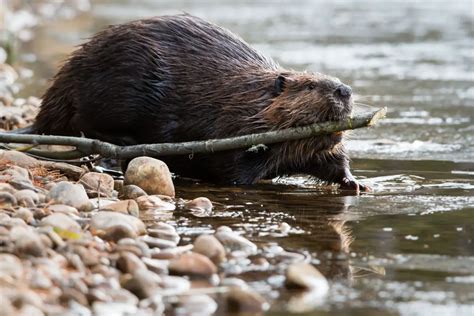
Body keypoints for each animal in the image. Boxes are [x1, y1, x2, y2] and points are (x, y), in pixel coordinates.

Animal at [31, 14, 368, 193]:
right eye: (310, 85)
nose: (345, 90)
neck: (250, 98)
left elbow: (332, 160)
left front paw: (356, 184)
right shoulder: (231, 126)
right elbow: (233, 169)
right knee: (88, 125)